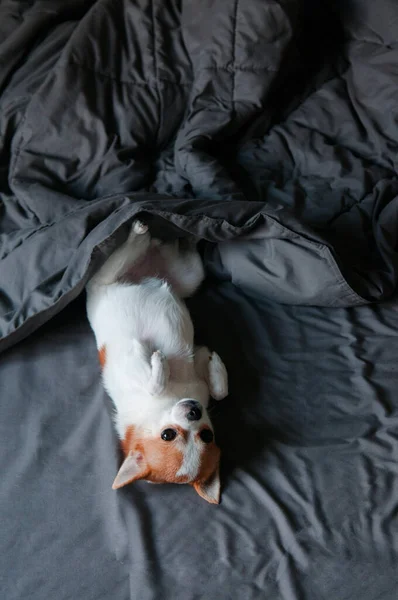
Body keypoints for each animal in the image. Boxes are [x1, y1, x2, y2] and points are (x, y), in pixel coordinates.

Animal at [86, 219, 230, 502]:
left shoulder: (198, 376)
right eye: (168, 434)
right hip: (108, 276)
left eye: (207, 435)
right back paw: (139, 231)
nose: (195, 409)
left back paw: (187, 236)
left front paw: (216, 366)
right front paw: (157, 360)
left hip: (190, 275)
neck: (172, 399)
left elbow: (219, 391)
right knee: (123, 255)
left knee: (181, 254)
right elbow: (154, 379)